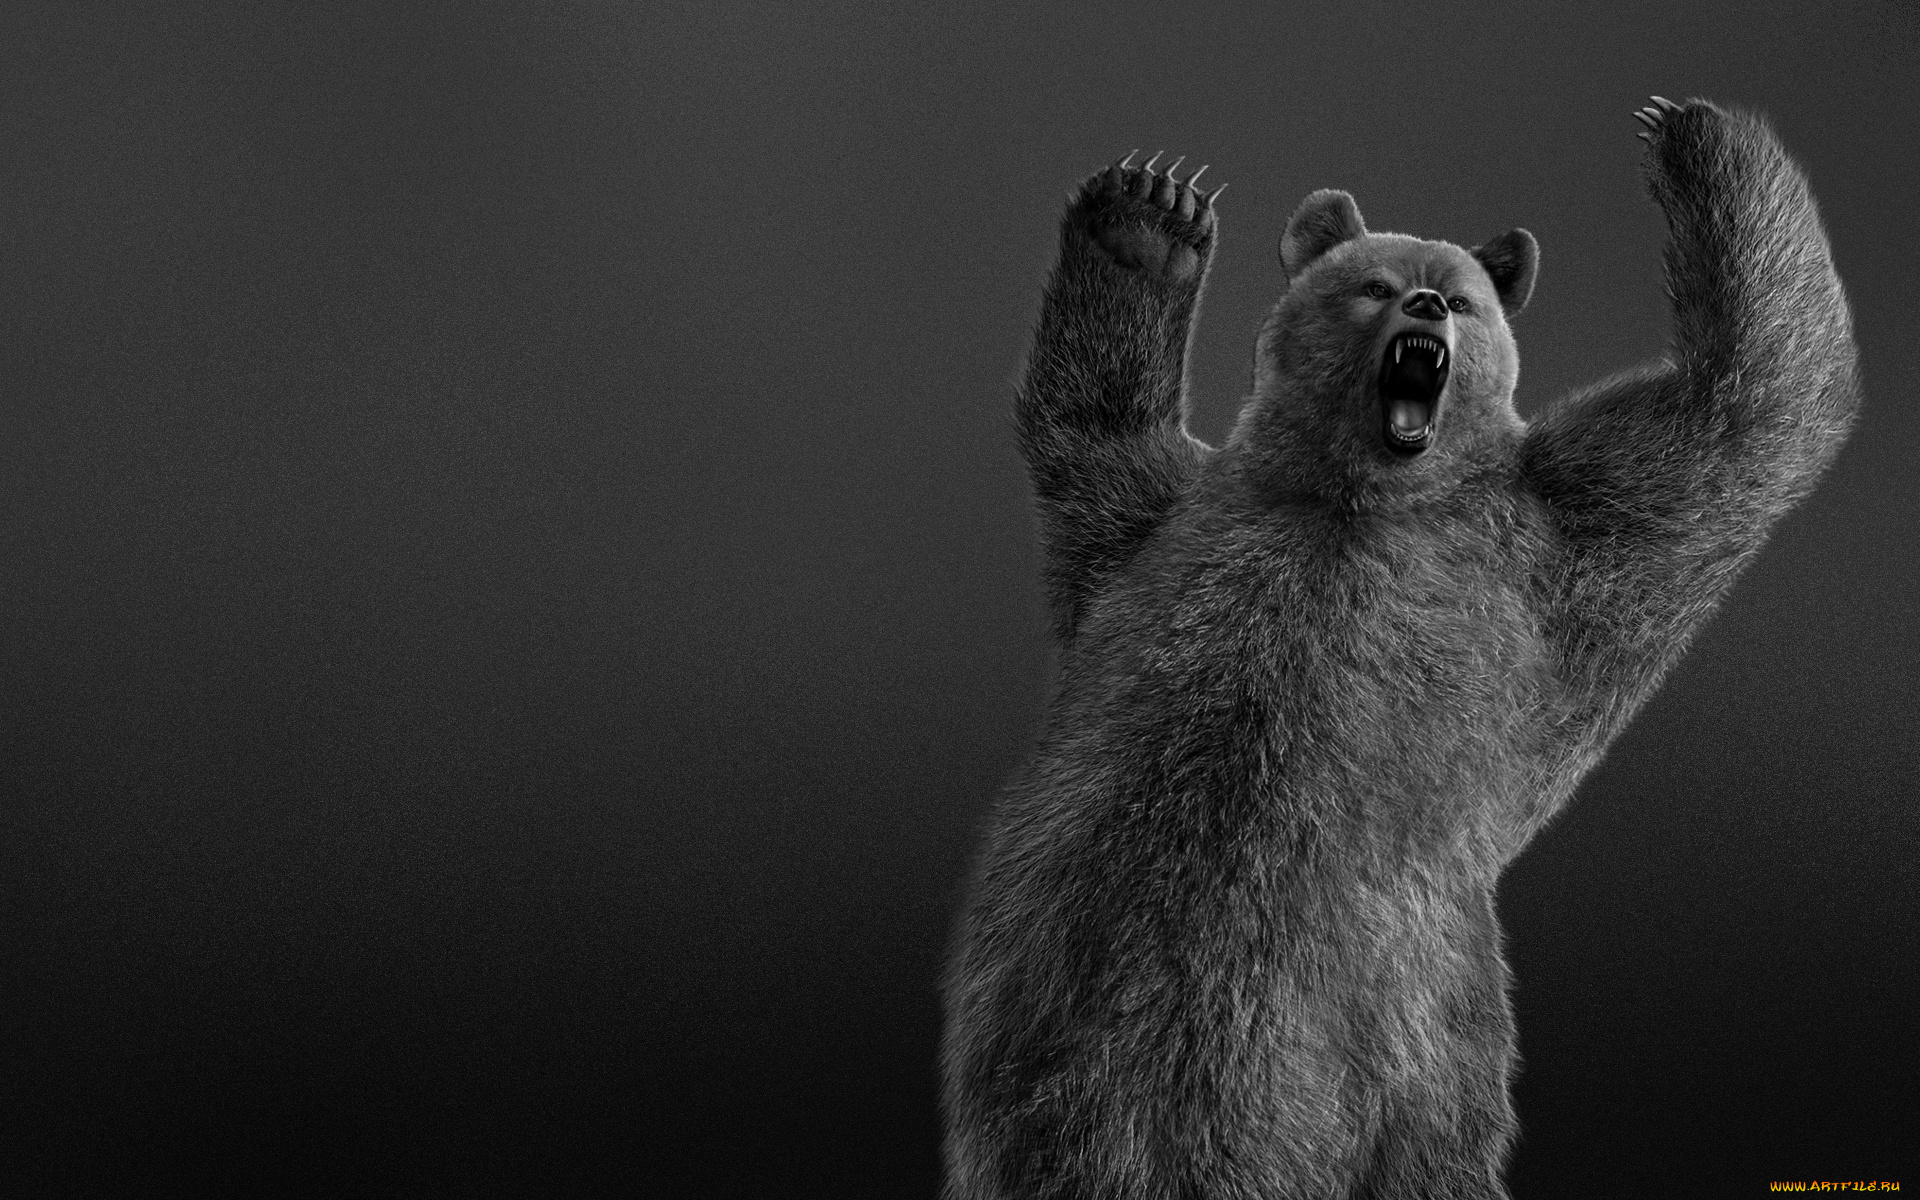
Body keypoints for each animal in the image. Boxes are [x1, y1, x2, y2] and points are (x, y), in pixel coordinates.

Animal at [941, 98, 1860, 1199]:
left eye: (1462, 298)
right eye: (1372, 283)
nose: (1425, 303)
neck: (1359, 494)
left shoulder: (1555, 540)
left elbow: (1744, 415)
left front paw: (1690, 137)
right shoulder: (1162, 526)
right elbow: (1089, 436)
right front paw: (1149, 213)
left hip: (1423, 1019)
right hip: (1060, 1014)